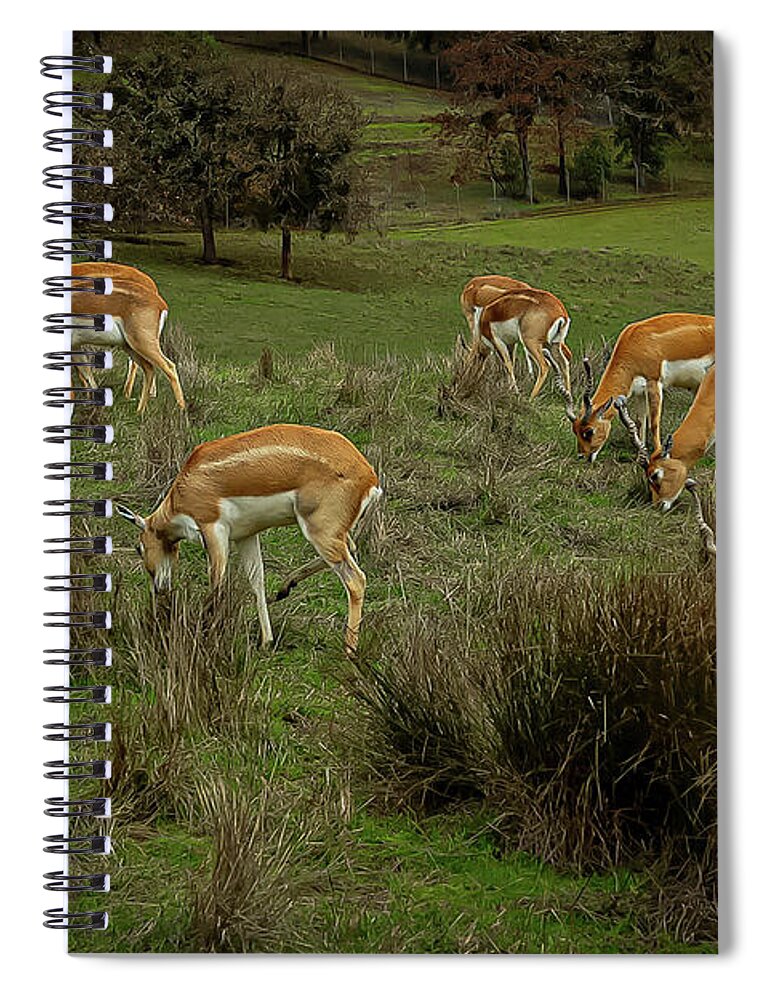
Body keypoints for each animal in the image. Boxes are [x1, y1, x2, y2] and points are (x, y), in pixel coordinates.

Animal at [71, 268, 185, 413]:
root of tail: (161, 304)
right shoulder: (74, 346)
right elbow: (86, 372)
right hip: (130, 346)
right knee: (149, 368)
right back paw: (139, 411)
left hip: (142, 343)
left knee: (168, 366)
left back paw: (181, 410)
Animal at [116, 424, 382, 655]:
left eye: (138, 548)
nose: (159, 588)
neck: (185, 487)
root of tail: (369, 477)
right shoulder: (246, 536)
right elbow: (256, 580)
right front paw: (266, 640)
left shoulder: (213, 530)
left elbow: (217, 583)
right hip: (331, 533)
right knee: (351, 549)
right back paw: (285, 588)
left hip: (319, 531)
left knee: (356, 579)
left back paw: (349, 650)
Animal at [570, 313, 714, 462]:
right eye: (575, 430)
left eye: (589, 431)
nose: (582, 456)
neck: (635, 341)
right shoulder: (640, 392)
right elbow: (640, 421)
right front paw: (640, 457)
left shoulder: (654, 383)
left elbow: (654, 423)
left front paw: (658, 454)